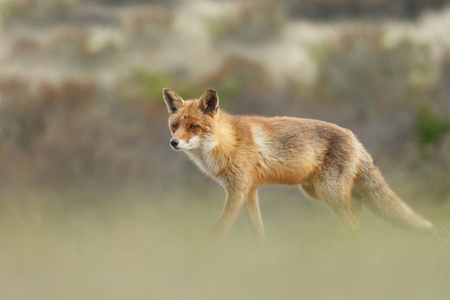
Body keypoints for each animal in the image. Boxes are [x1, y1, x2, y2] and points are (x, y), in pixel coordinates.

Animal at [163, 86, 434, 244]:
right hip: (318, 191)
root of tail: (355, 138)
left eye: (194, 127)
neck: (227, 143)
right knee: (356, 211)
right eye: (175, 126)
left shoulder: (237, 190)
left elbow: (220, 228)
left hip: (329, 191)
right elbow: (258, 229)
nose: (174, 143)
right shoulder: (249, 191)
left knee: (352, 221)